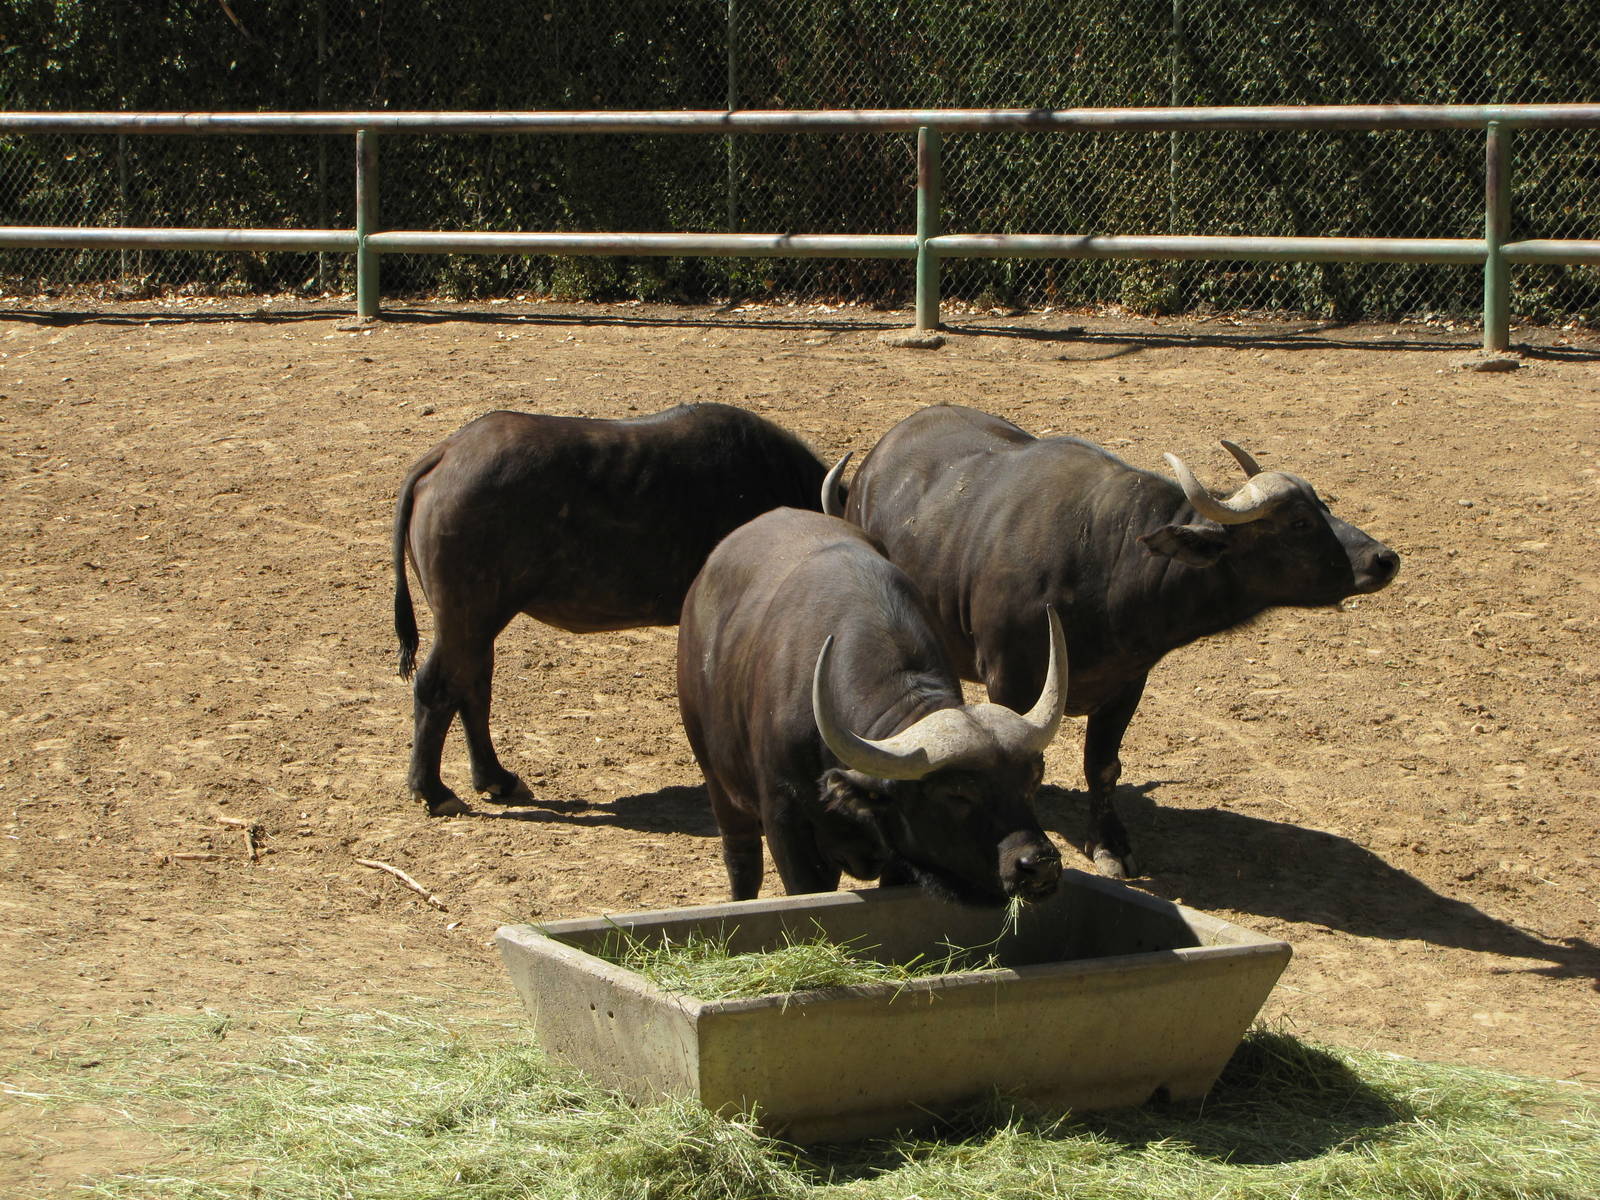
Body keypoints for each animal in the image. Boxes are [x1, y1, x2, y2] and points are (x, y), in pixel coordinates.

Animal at [392, 403, 834, 815]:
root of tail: (447, 453)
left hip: (475, 622)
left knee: (472, 686)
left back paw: (496, 778)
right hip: (468, 616)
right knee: (437, 687)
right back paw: (433, 791)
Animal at [677, 506, 1069, 905]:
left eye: (1032, 779)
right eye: (957, 793)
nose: (1039, 864)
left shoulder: (901, 854)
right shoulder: (787, 826)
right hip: (719, 785)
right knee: (742, 860)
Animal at [839, 404, 1400, 878]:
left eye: (1323, 506)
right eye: (1300, 522)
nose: (1384, 559)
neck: (1105, 563)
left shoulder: (1128, 682)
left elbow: (1103, 766)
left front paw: (1110, 844)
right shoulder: (1011, 678)